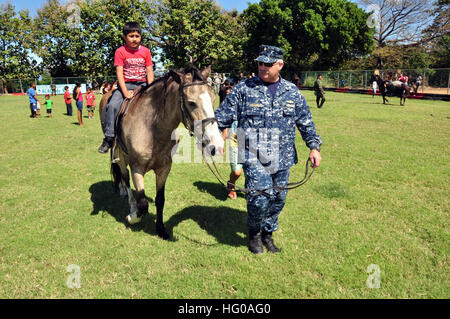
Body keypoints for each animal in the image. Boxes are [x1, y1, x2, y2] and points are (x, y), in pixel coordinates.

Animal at [99, 65, 224, 240]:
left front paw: (160, 229)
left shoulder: (164, 168)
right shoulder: (137, 168)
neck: (153, 128)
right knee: (124, 177)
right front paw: (132, 217)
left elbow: (160, 200)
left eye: (213, 99)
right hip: (120, 154)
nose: (216, 144)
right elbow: (143, 204)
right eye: (191, 103)